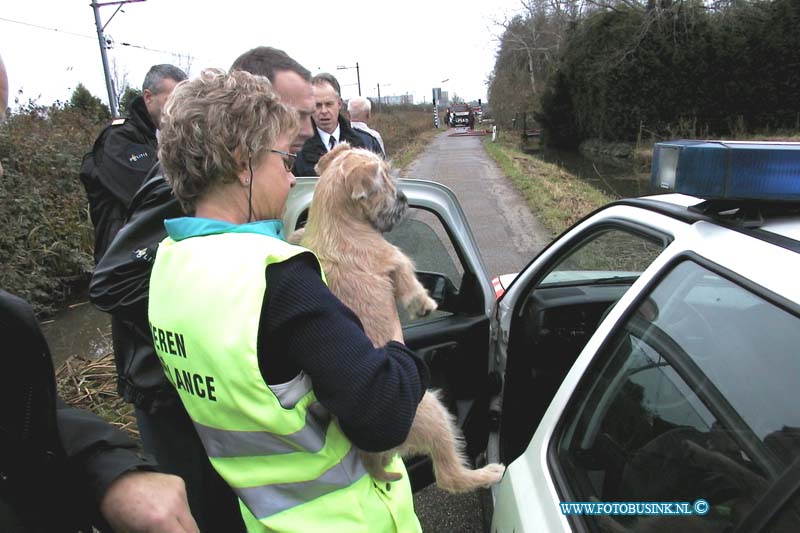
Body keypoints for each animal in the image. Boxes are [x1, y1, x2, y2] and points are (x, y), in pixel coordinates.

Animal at [296, 143, 504, 492]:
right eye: (384, 180)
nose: (405, 200)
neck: (334, 222)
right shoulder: (391, 257)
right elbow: (407, 275)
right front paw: (423, 303)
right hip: (433, 410)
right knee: (448, 475)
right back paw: (487, 474)